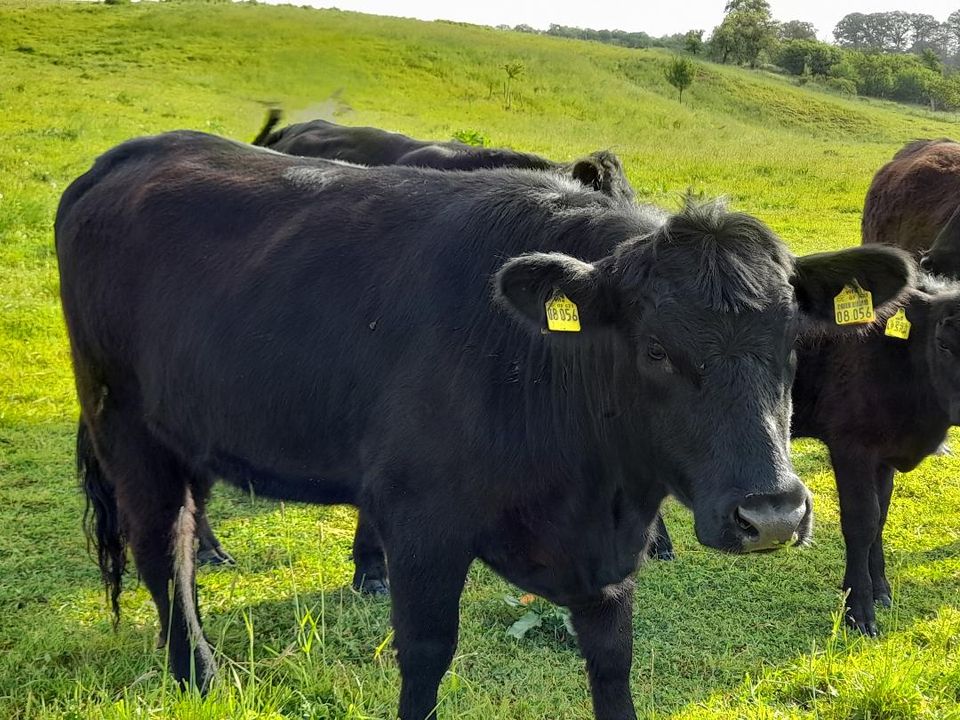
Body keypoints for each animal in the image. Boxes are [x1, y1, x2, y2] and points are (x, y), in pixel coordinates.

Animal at [54, 132, 916, 716]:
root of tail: (128, 156)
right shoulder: (421, 523)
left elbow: (613, 664)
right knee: (162, 548)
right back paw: (199, 674)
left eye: (795, 340)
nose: (771, 514)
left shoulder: (608, 559)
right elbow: (426, 656)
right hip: (124, 424)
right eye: (656, 351)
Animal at [648, 276, 956, 636]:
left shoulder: (883, 454)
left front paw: (881, 589)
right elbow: (862, 522)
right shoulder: (851, 447)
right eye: (943, 344)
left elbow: (880, 517)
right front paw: (859, 610)